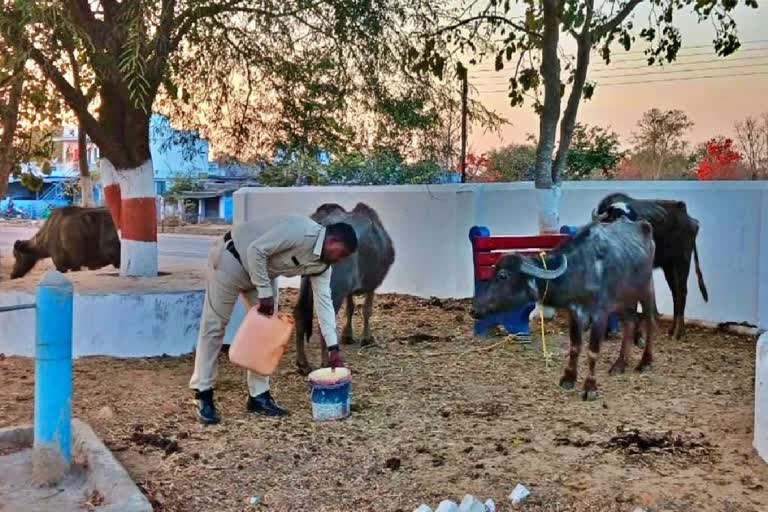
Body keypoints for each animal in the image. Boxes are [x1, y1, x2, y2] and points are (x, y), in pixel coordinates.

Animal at [294, 202, 396, 374]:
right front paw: (366, 338)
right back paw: (326, 362)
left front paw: (347, 335)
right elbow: (367, 310)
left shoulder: (350, 289)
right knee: (325, 321)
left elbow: (350, 308)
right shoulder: (372, 284)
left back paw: (303, 363)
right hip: (335, 288)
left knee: (299, 314)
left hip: (305, 283)